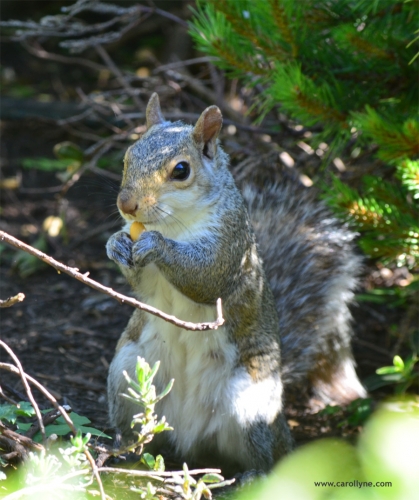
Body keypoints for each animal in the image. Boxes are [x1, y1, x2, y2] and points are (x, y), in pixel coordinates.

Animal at [106, 93, 366, 472]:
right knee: (141, 429)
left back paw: (249, 475)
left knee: (266, 457)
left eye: (181, 170)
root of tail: (189, 437)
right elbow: (143, 288)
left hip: (249, 405)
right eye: (127, 157)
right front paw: (115, 244)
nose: (126, 204)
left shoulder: (230, 244)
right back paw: (126, 451)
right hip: (127, 373)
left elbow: (206, 277)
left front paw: (157, 246)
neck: (173, 224)